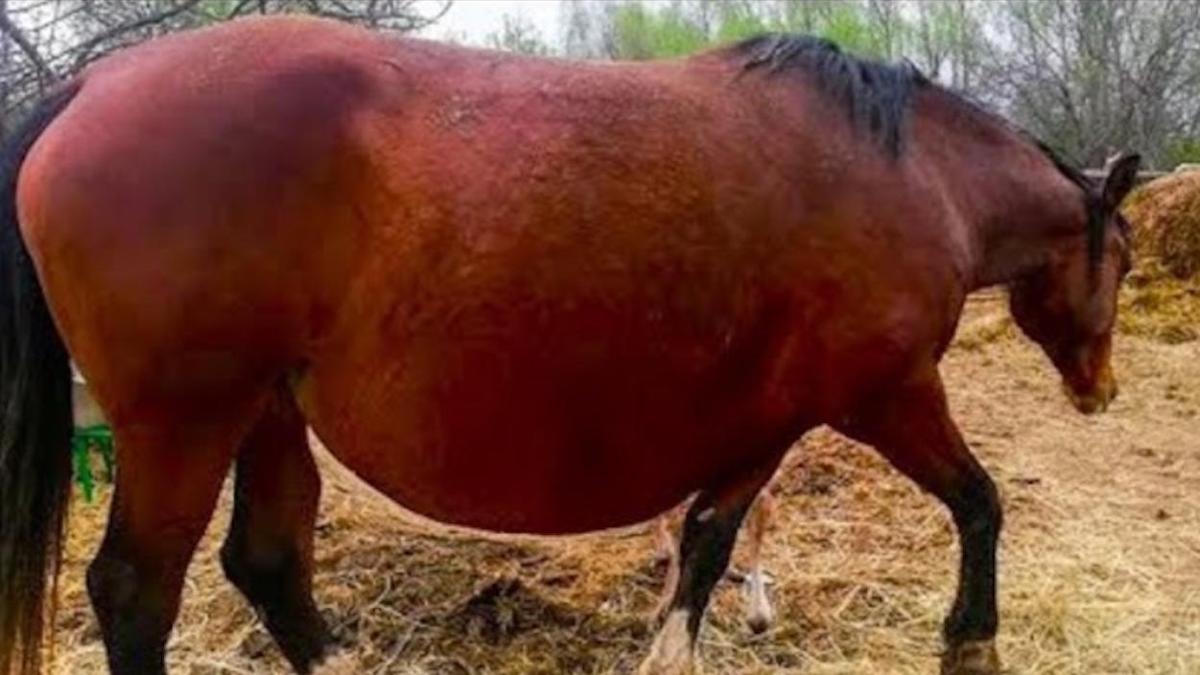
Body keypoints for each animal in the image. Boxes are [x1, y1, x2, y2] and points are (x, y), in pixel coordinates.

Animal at [0, 15, 1132, 672]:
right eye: (1121, 260)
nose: (1101, 390)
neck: (918, 176)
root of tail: (91, 88)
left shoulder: (764, 427)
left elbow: (707, 544)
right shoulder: (888, 397)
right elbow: (978, 502)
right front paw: (971, 640)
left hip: (266, 410)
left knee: (269, 563)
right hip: (185, 424)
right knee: (137, 592)